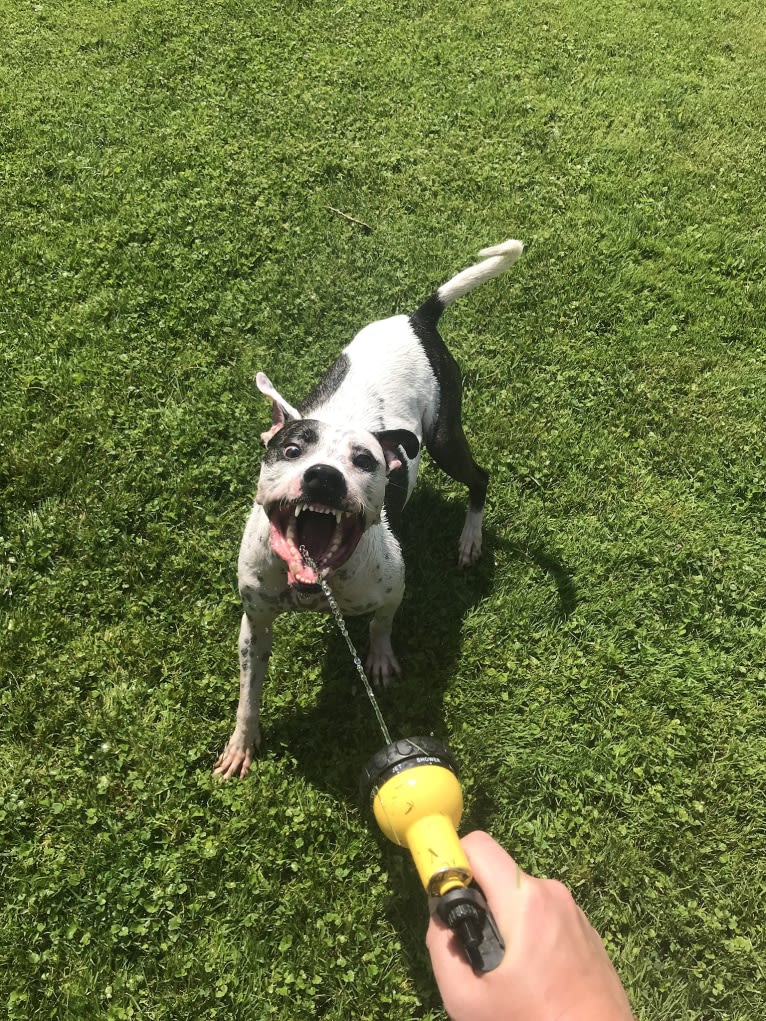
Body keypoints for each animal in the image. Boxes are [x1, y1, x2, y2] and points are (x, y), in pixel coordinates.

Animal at [216, 240, 522, 780]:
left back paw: (469, 539)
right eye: (291, 450)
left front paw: (379, 660)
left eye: (364, 460)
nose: (324, 476)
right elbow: (249, 691)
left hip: (445, 439)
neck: (317, 584)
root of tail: (418, 317)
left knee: (481, 479)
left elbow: (382, 624)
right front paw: (242, 743)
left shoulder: (393, 586)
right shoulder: (255, 620)